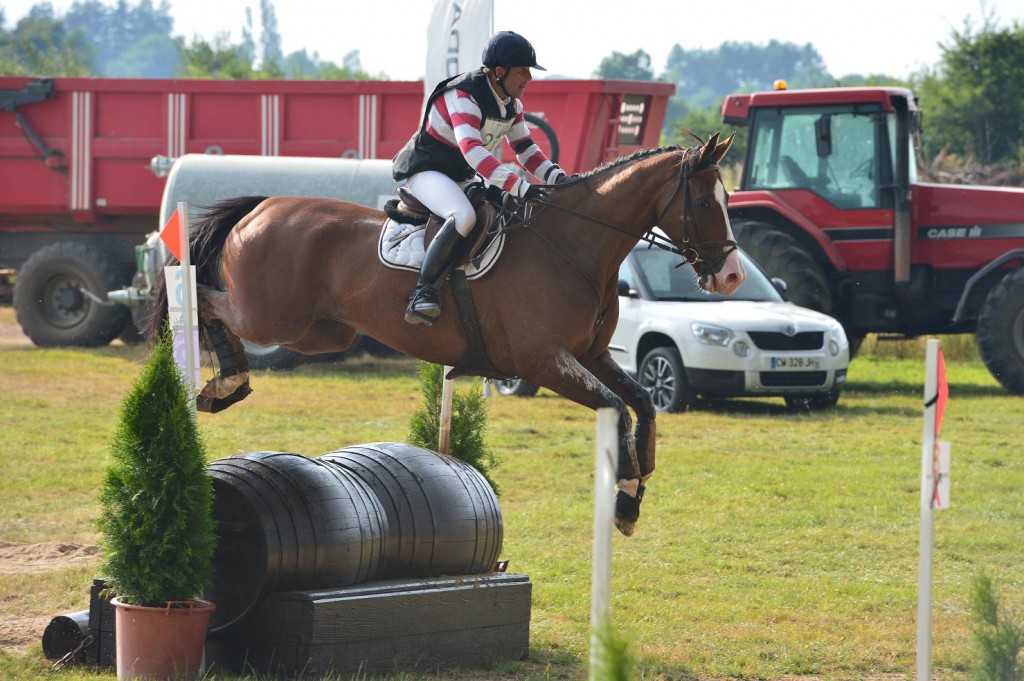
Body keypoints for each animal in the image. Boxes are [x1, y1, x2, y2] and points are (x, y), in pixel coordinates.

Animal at [167, 131, 745, 536]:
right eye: (703, 203)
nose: (732, 277)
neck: (575, 247)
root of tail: (263, 206)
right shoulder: (545, 362)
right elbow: (618, 408)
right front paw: (624, 492)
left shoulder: (591, 356)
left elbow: (643, 403)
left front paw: (637, 486)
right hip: (271, 317)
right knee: (202, 295)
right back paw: (222, 378)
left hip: (319, 333)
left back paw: (224, 381)